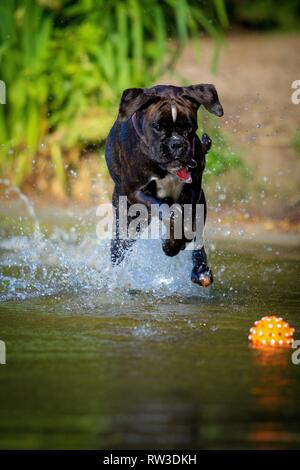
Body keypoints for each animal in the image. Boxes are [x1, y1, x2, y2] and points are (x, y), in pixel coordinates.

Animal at [105, 84, 223, 286]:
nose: (176, 144)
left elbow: (187, 224)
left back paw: (201, 270)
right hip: (129, 219)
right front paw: (172, 244)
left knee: (198, 237)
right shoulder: (136, 192)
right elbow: (169, 213)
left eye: (188, 127)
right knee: (119, 247)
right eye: (158, 126)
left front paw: (175, 244)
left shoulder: (193, 191)